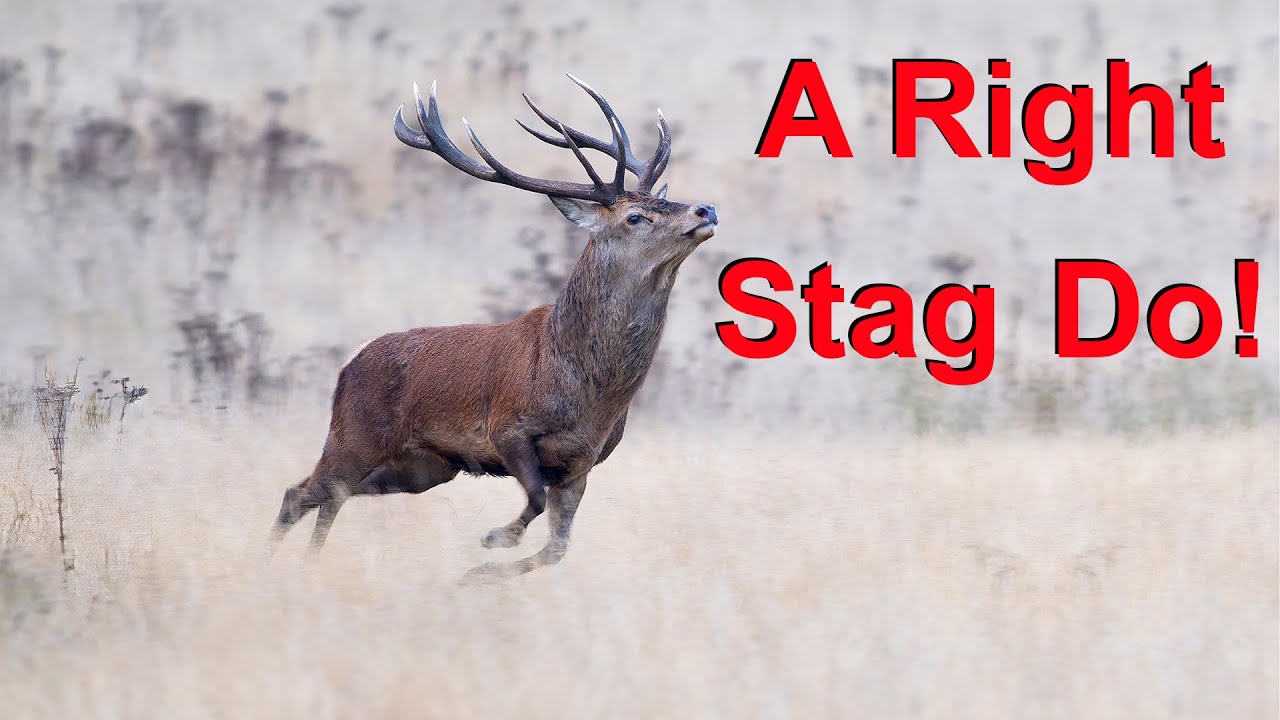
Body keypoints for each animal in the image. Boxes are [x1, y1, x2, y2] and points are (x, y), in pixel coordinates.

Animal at [267, 75, 718, 583]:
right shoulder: (507, 427)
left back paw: (305, 564)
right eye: (636, 216)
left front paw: (477, 573)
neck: (588, 392)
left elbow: (556, 549)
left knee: (329, 495)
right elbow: (534, 500)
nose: (705, 210)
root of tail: (350, 360)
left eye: (667, 201)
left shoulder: (582, 464)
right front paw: (493, 539)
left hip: (421, 468)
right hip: (355, 432)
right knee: (301, 493)